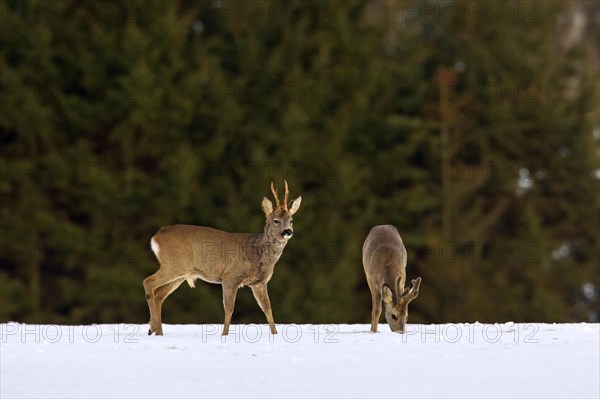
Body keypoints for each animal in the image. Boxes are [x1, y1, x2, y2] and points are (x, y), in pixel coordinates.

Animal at [144, 183, 302, 336]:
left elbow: (267, 307)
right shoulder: (230, 276)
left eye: (291, 220)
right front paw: (224, 335)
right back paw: (152, 327)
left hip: (180, 273)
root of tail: (155, 237)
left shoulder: (259, 283)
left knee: (159, 295)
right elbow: (229, 307)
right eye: (276, 220)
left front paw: (275, 334)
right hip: (174, 265)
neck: (258, 254)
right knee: (148, 282)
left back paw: (158, 332)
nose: (288, 231)